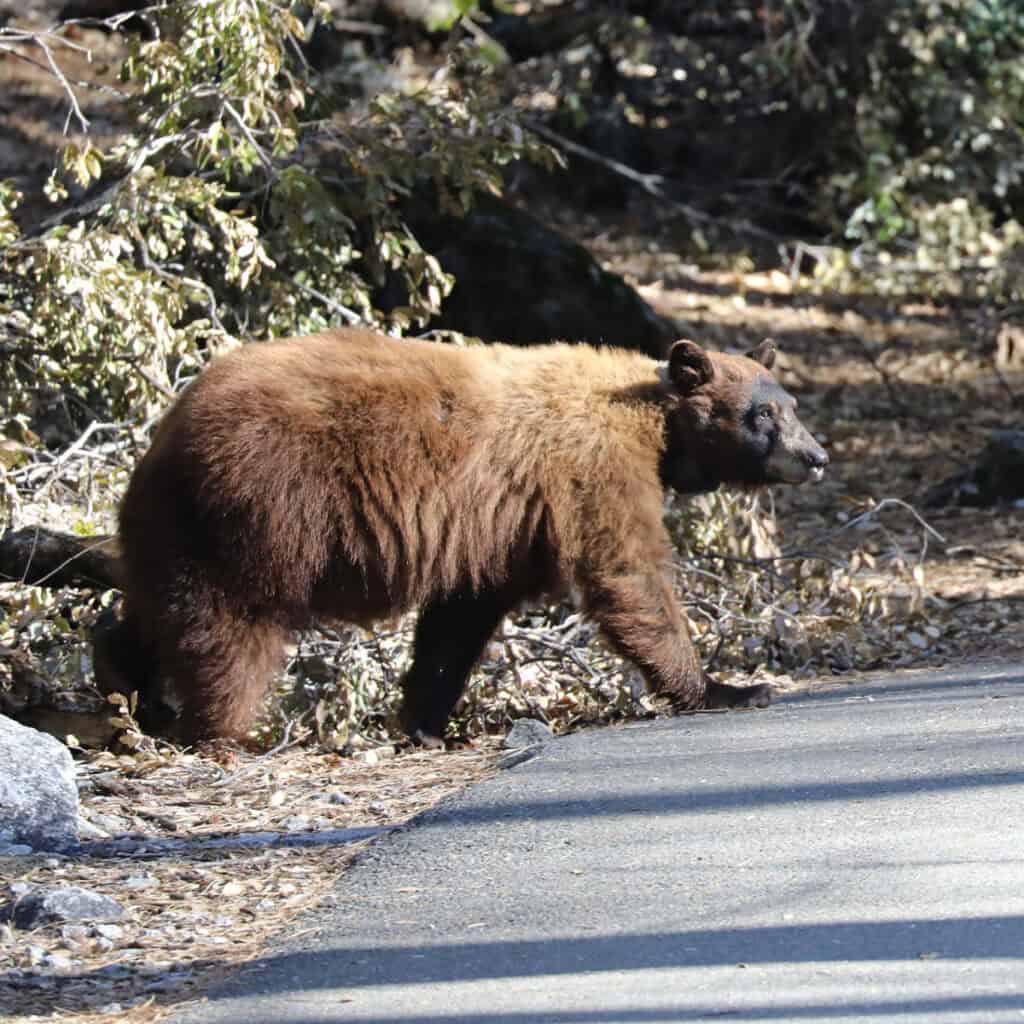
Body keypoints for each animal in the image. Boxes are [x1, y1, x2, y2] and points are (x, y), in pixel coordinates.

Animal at [94, 327, 828, 747]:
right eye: (764, 412)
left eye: (791, 405)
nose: (816, 455)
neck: (655, 424)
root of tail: (168, 429)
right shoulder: (590, 469)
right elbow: (626, 570)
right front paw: (727, 688)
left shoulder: (495, 532)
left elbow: (460, 619)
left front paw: (425, 721)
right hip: (260, 510)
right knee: (229, 626)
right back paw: (218, 728)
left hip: (174, 528)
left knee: (152, 613)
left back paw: (126, 694)